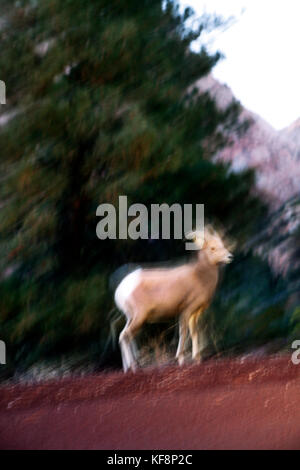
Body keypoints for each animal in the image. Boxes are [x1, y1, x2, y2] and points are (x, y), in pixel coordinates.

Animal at [113, 226, 233, 372]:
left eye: (222, 244)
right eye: (213, 248)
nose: (230, 257)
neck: (200, 277)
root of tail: (122, 289)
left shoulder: (195, 314)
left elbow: (194, 333)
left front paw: (197, 359)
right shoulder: (186, 311)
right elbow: (183, 333)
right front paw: (181, 360)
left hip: (131, 317)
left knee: (123, 336)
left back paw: (127, 369)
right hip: (139, 316)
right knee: (126, 335)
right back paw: (134, 368)